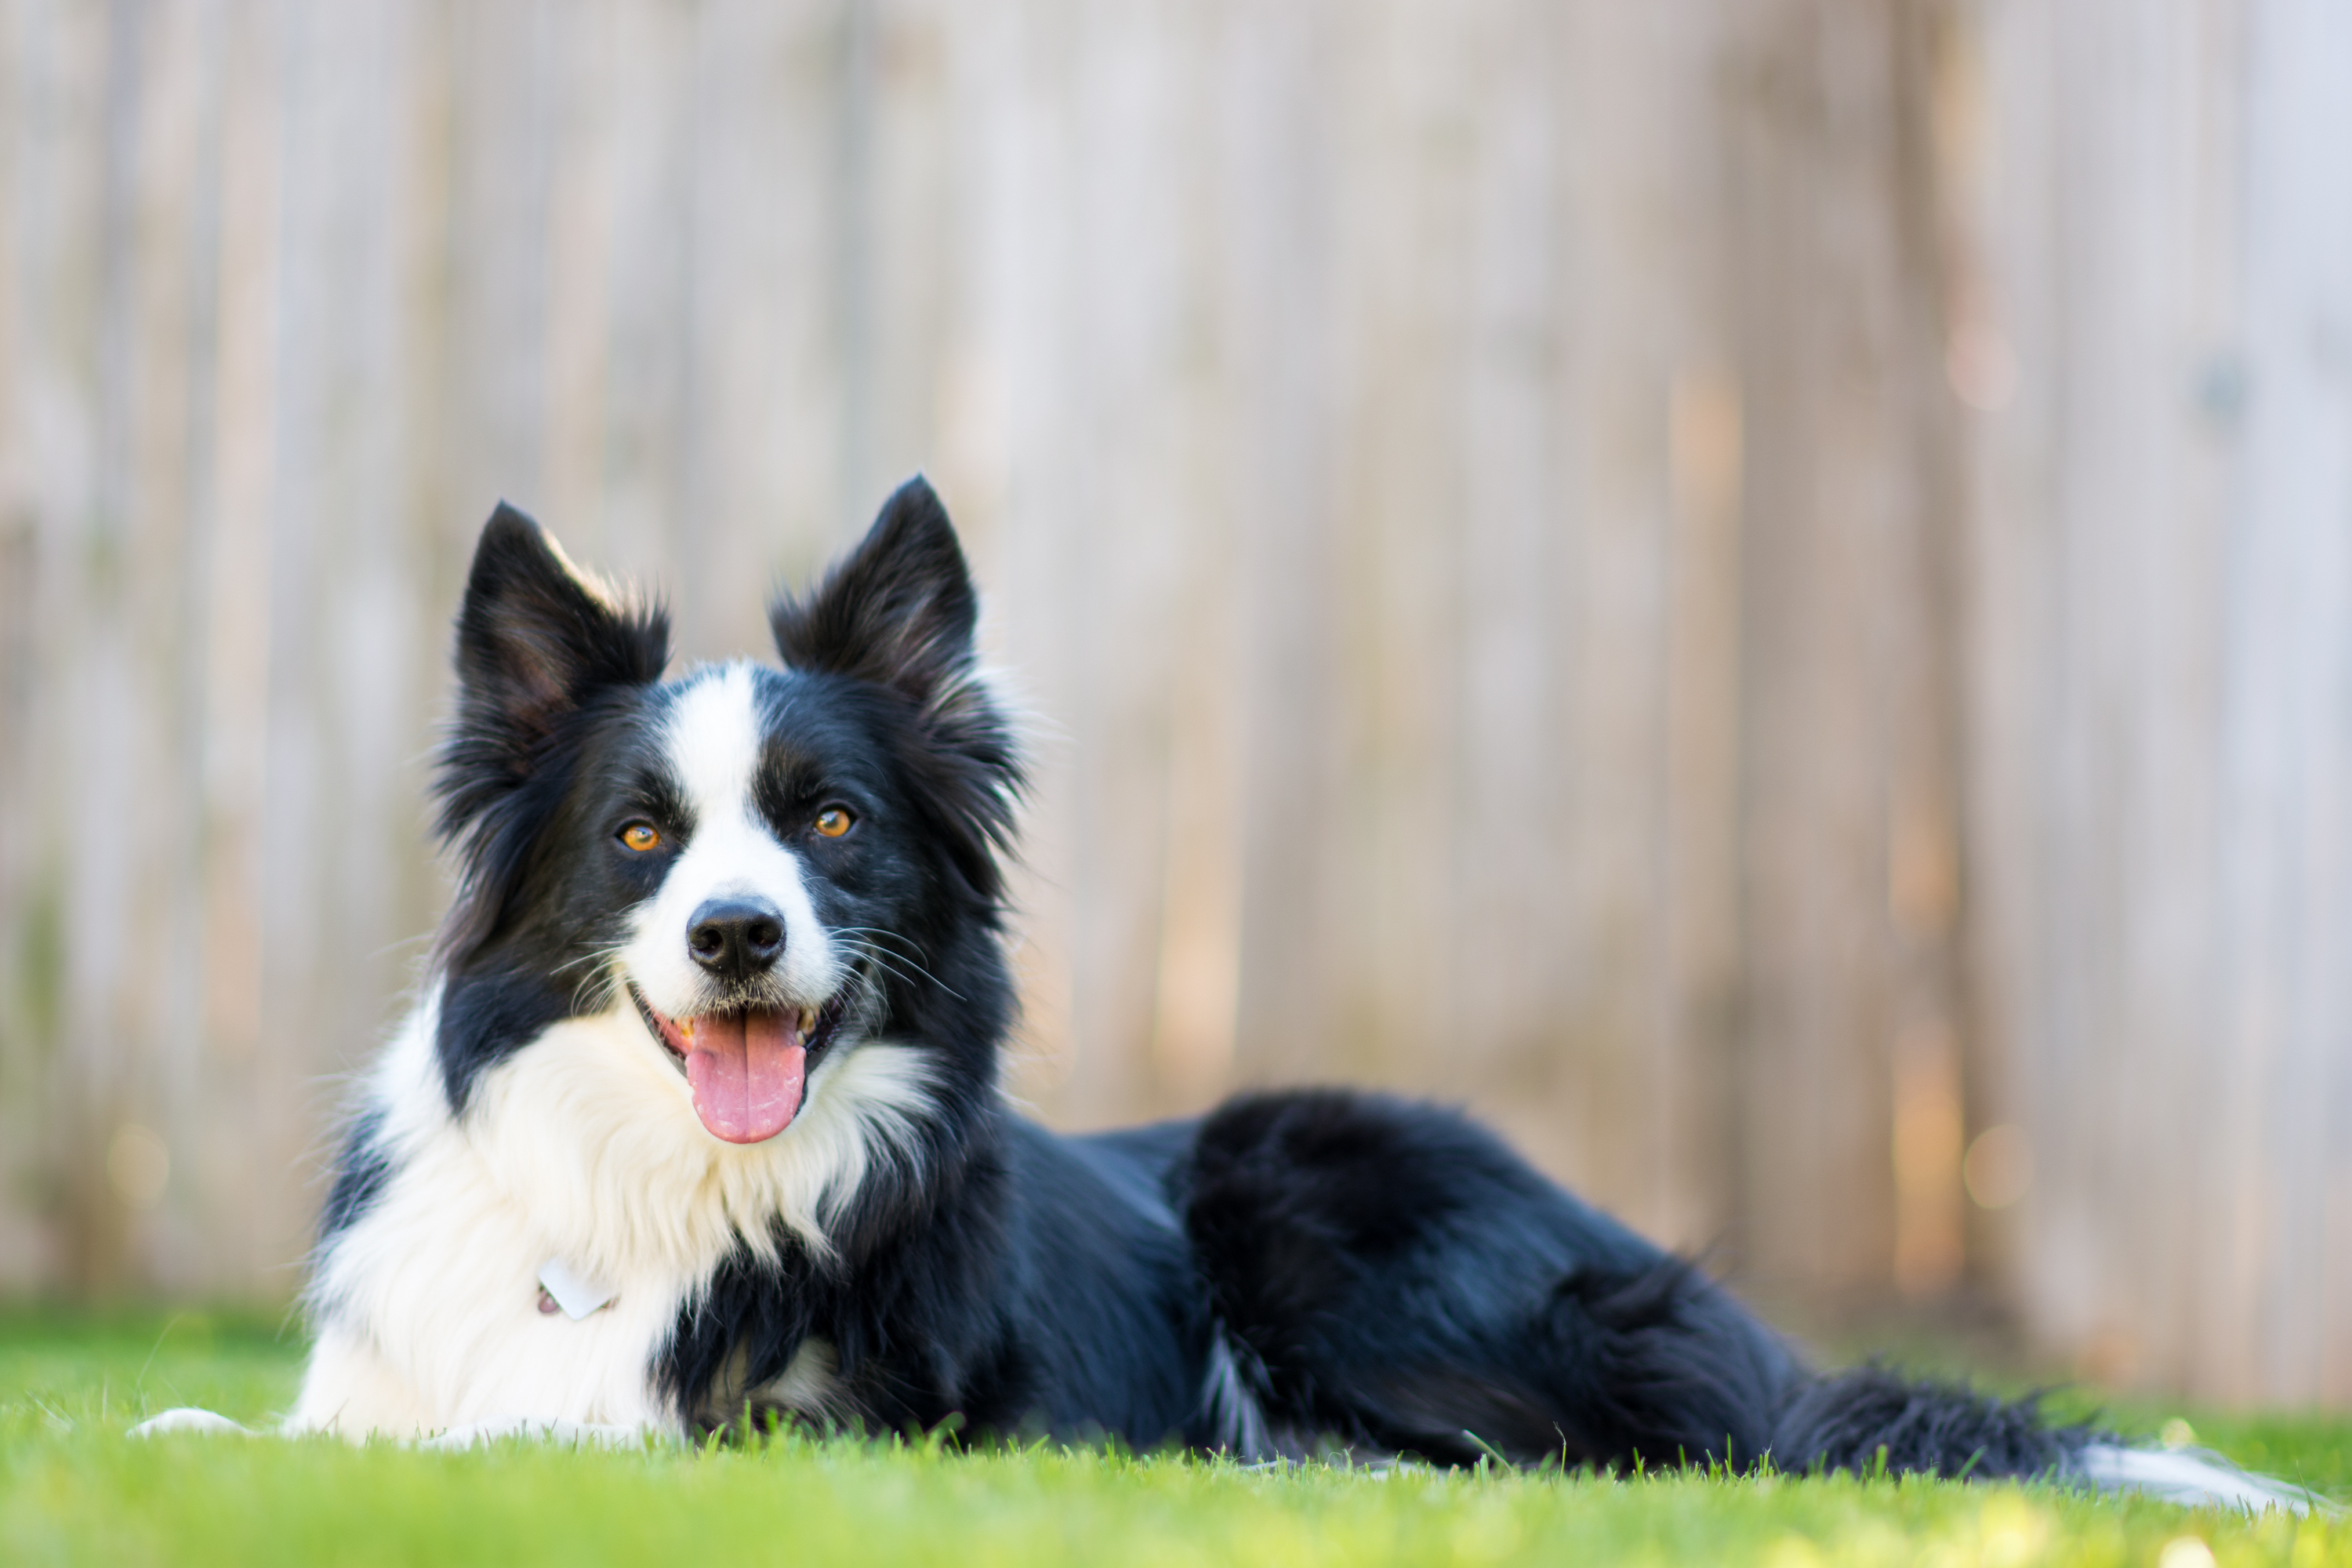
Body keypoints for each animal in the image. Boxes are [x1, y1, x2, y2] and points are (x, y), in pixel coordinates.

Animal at [156, 481, 2286, 1504]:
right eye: (637, 836)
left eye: (828, 819)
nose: (740, 936)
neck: (643, 1196)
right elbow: (281, 1428)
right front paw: (196, 1437)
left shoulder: (851, 1427)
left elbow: (557, 1432)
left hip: (1306, 1183)